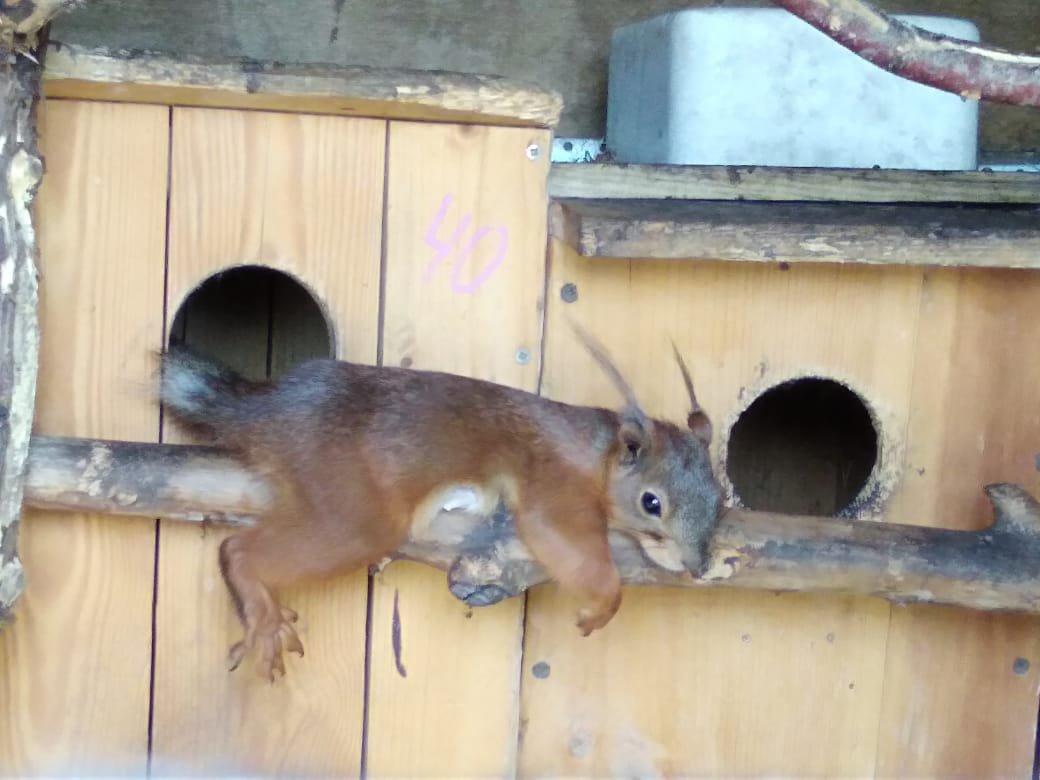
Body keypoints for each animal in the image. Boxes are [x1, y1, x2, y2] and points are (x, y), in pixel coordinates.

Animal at [156, 330, 723, 682]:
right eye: (651, 502)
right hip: (352, 510)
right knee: (238, 549)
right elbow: (561, 539)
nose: (696, 566)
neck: (594, 452)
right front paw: (603, 602)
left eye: (719, 498)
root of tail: (267, 410)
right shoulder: (550, 484)